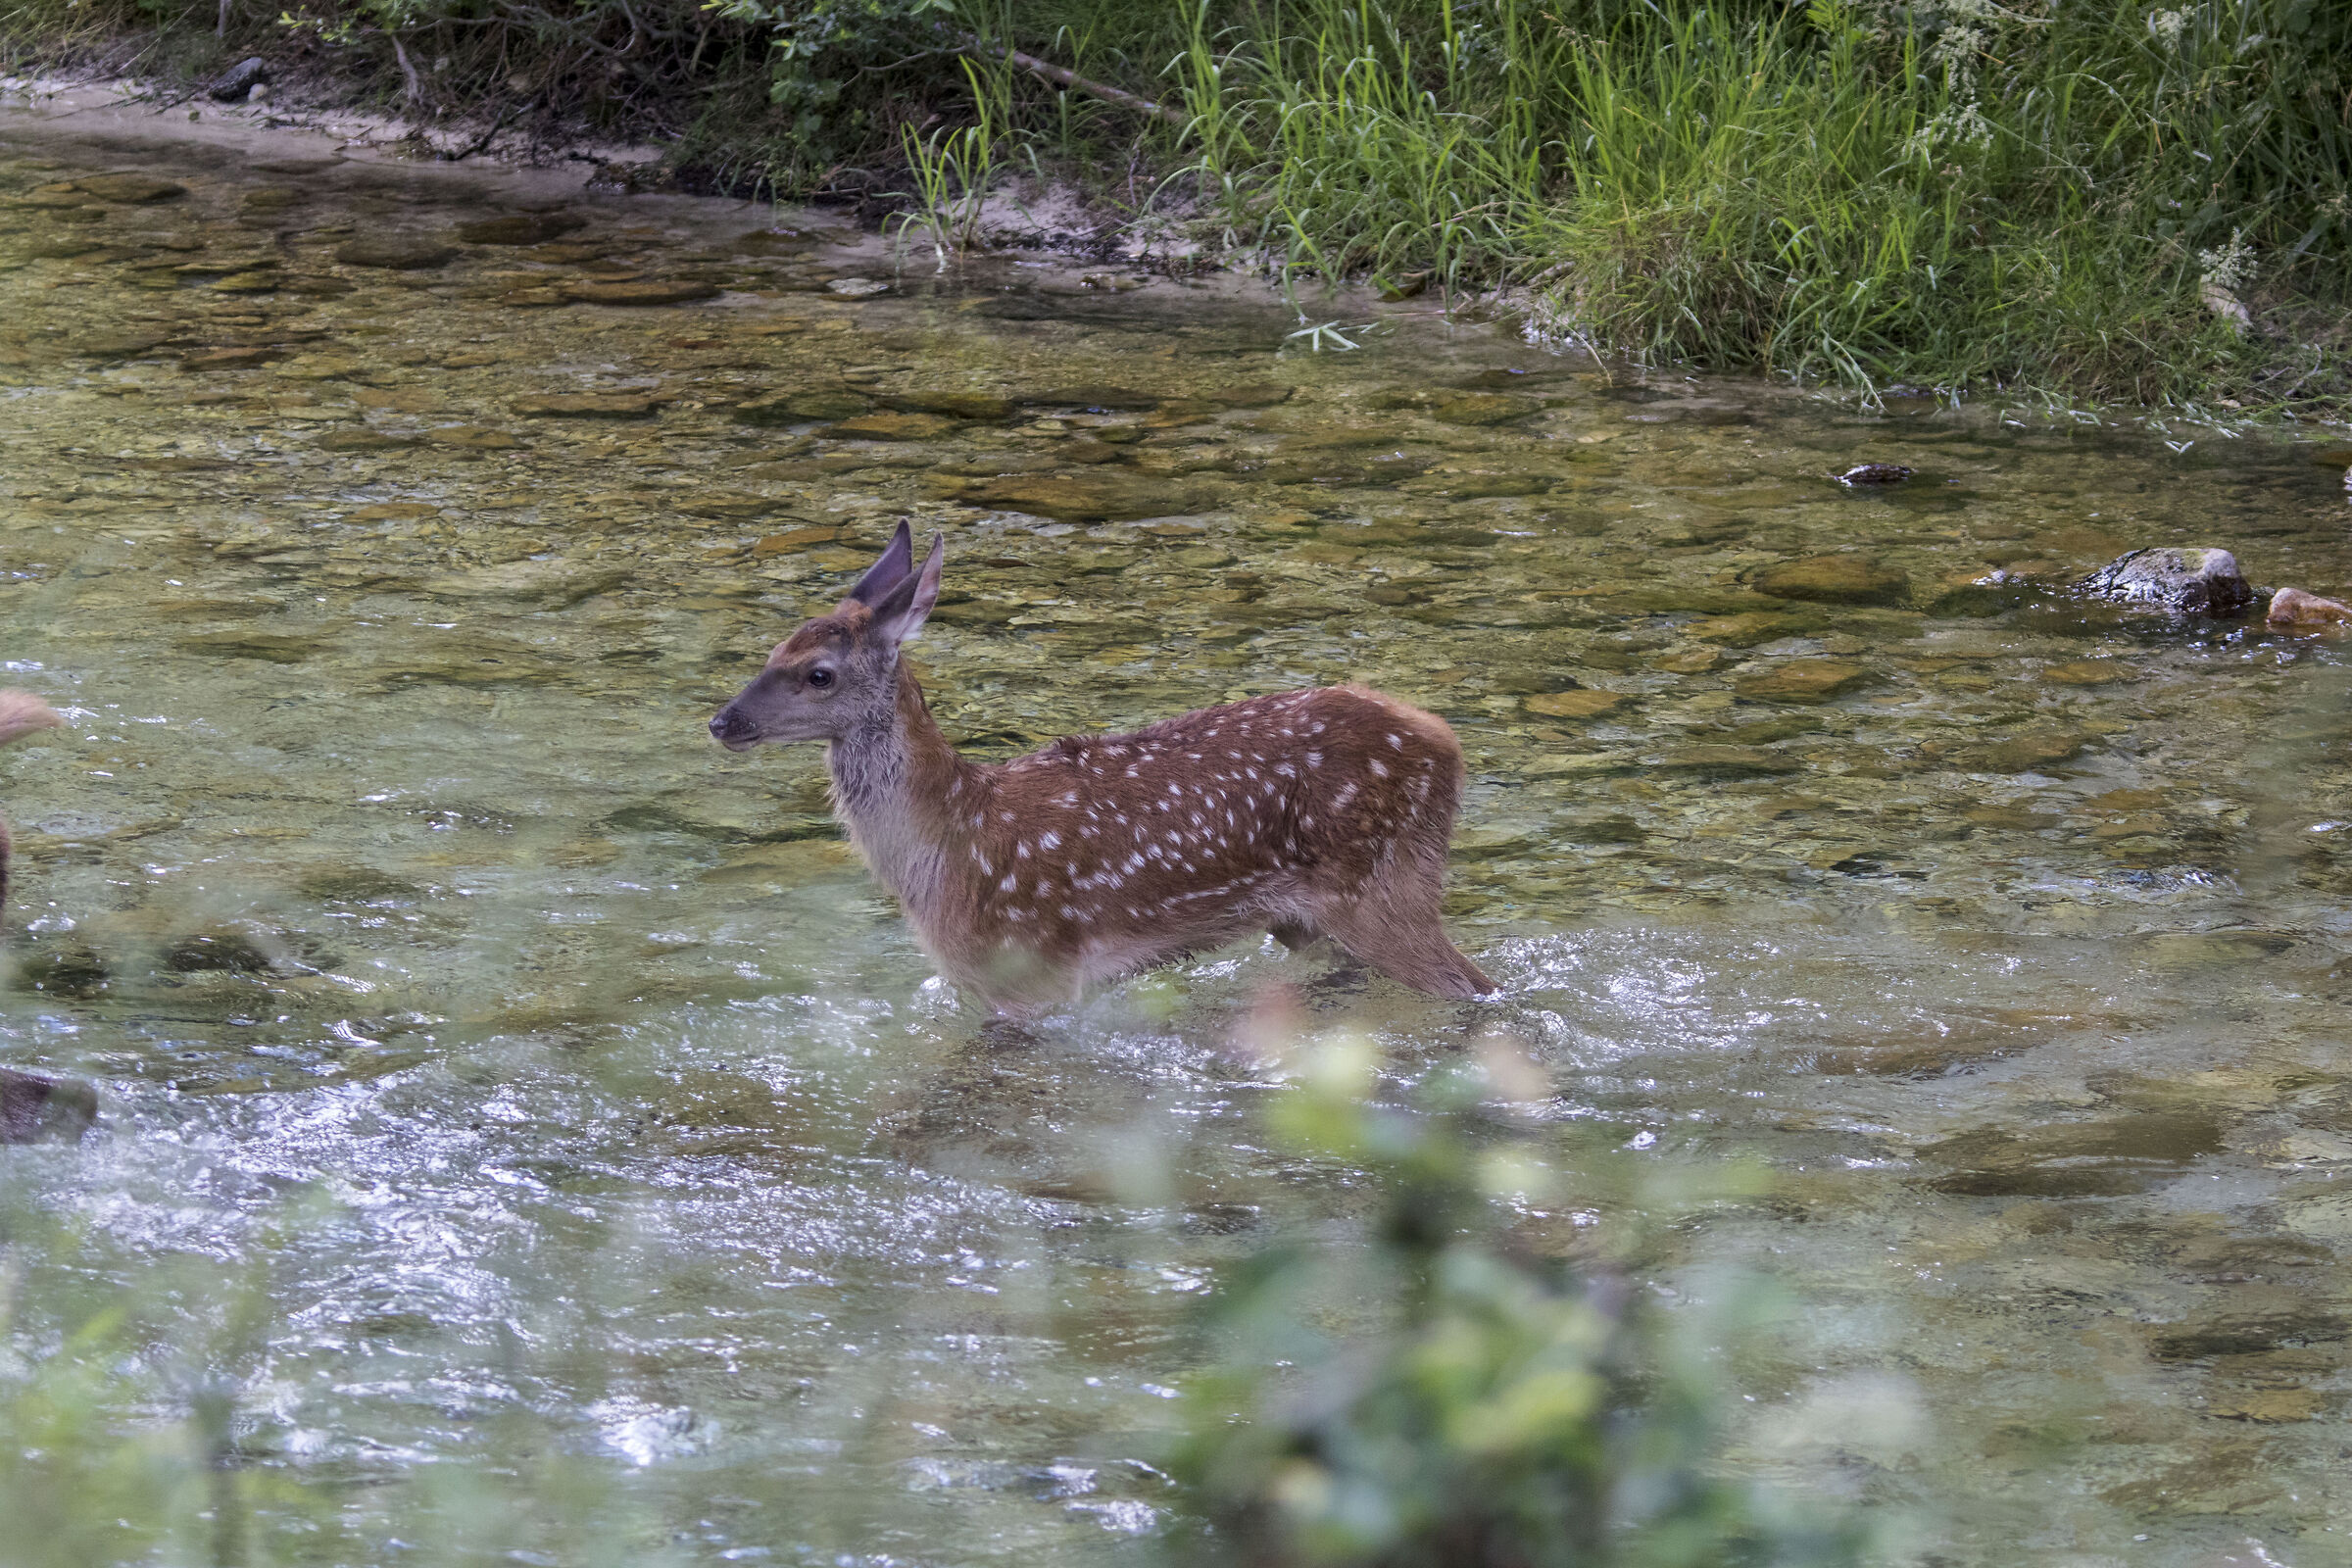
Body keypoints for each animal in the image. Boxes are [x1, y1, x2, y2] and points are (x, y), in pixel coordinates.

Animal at [708, 523, 1493, 1015]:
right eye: (772, 650)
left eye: (818, 673)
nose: (723, 721)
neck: (948, 841)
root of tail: (1445, 741)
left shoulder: (1033, 972)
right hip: (1314, 922)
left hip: (1381, 888)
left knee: (1476, 987)